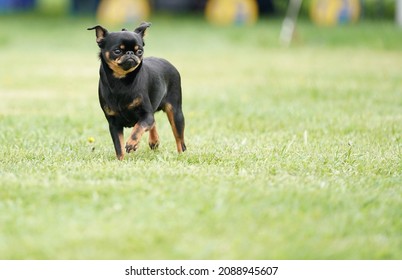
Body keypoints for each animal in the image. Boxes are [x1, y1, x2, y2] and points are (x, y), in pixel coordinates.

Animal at [88, 21, 185, 160]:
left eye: (139, 51)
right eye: (117, 51)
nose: (130, 53)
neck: (121, 81)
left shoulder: (146, 115)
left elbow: (139, 127)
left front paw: (131, 143)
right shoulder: (113, 123)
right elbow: (118, 145)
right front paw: (121, 160)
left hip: (176, 113)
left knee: (179, 138)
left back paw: (181, 154)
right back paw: (154, 141)